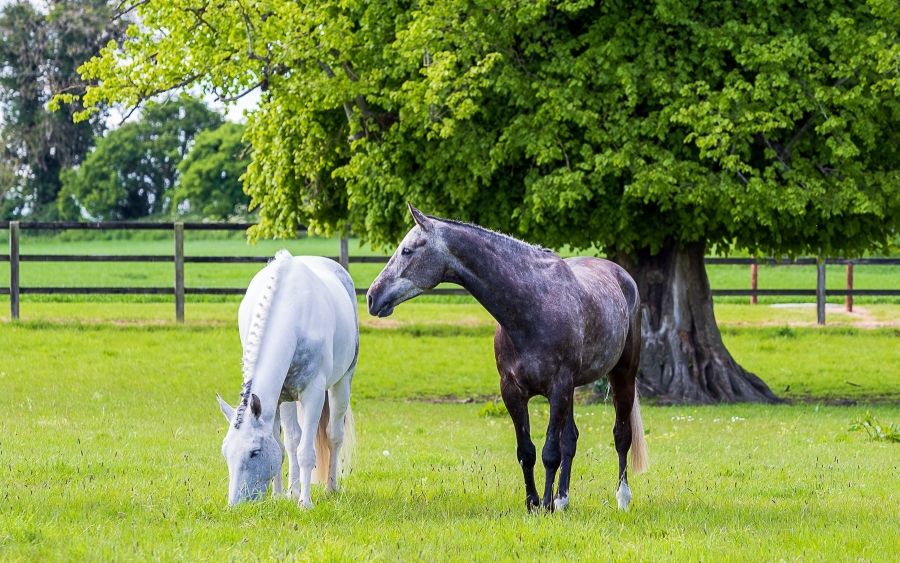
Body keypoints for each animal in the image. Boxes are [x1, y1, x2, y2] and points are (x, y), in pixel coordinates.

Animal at [216, 250, 358, 507]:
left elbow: (306, 452)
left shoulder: (313, 395)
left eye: (254, 452)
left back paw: (330, 488)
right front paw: (280, 495)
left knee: (333, 435)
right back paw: (292, 491)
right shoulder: (275, 400)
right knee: (293, 440)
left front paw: (305, 503)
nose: (235, 505)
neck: (291, 311)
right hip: (289, 400)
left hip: (342, 383)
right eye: (226, 452)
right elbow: (283, 448)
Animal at [367, 205, 648, 512]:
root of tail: (624, 277)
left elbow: (550, 452)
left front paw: (545, 505)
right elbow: (527, 451)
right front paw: (534, 503)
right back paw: (563, 500)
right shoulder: (512, 391)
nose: (372, 296)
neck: (532, 306)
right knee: (571, 439)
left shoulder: (558, 387)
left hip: (621, 375)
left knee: (621, 436)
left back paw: (622, 499)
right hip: (573, 390)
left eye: (407, 250)